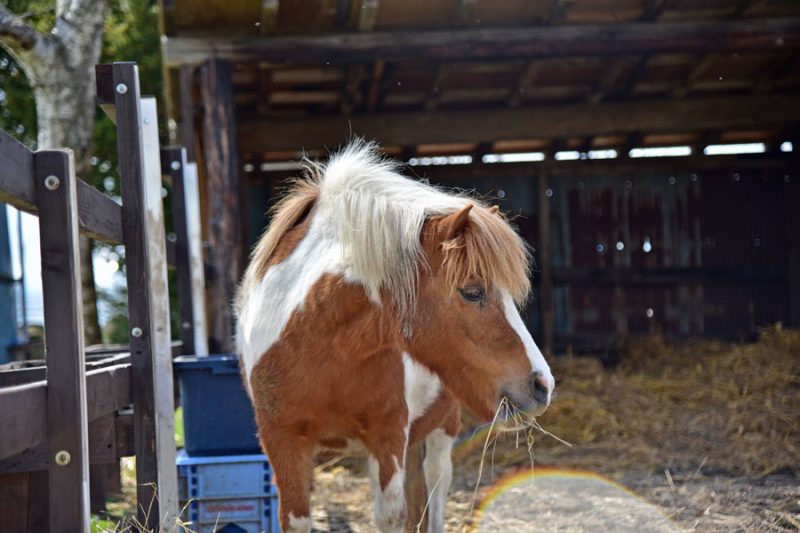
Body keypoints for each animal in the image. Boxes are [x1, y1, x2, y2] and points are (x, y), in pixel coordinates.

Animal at [234, 141, 552, 532]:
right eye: (472, 291)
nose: (543, 385)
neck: (317, 348)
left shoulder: (388, 436)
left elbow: (393, 515)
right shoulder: (282, 442)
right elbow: (296, 519)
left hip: (443, 425)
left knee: (436, 481)